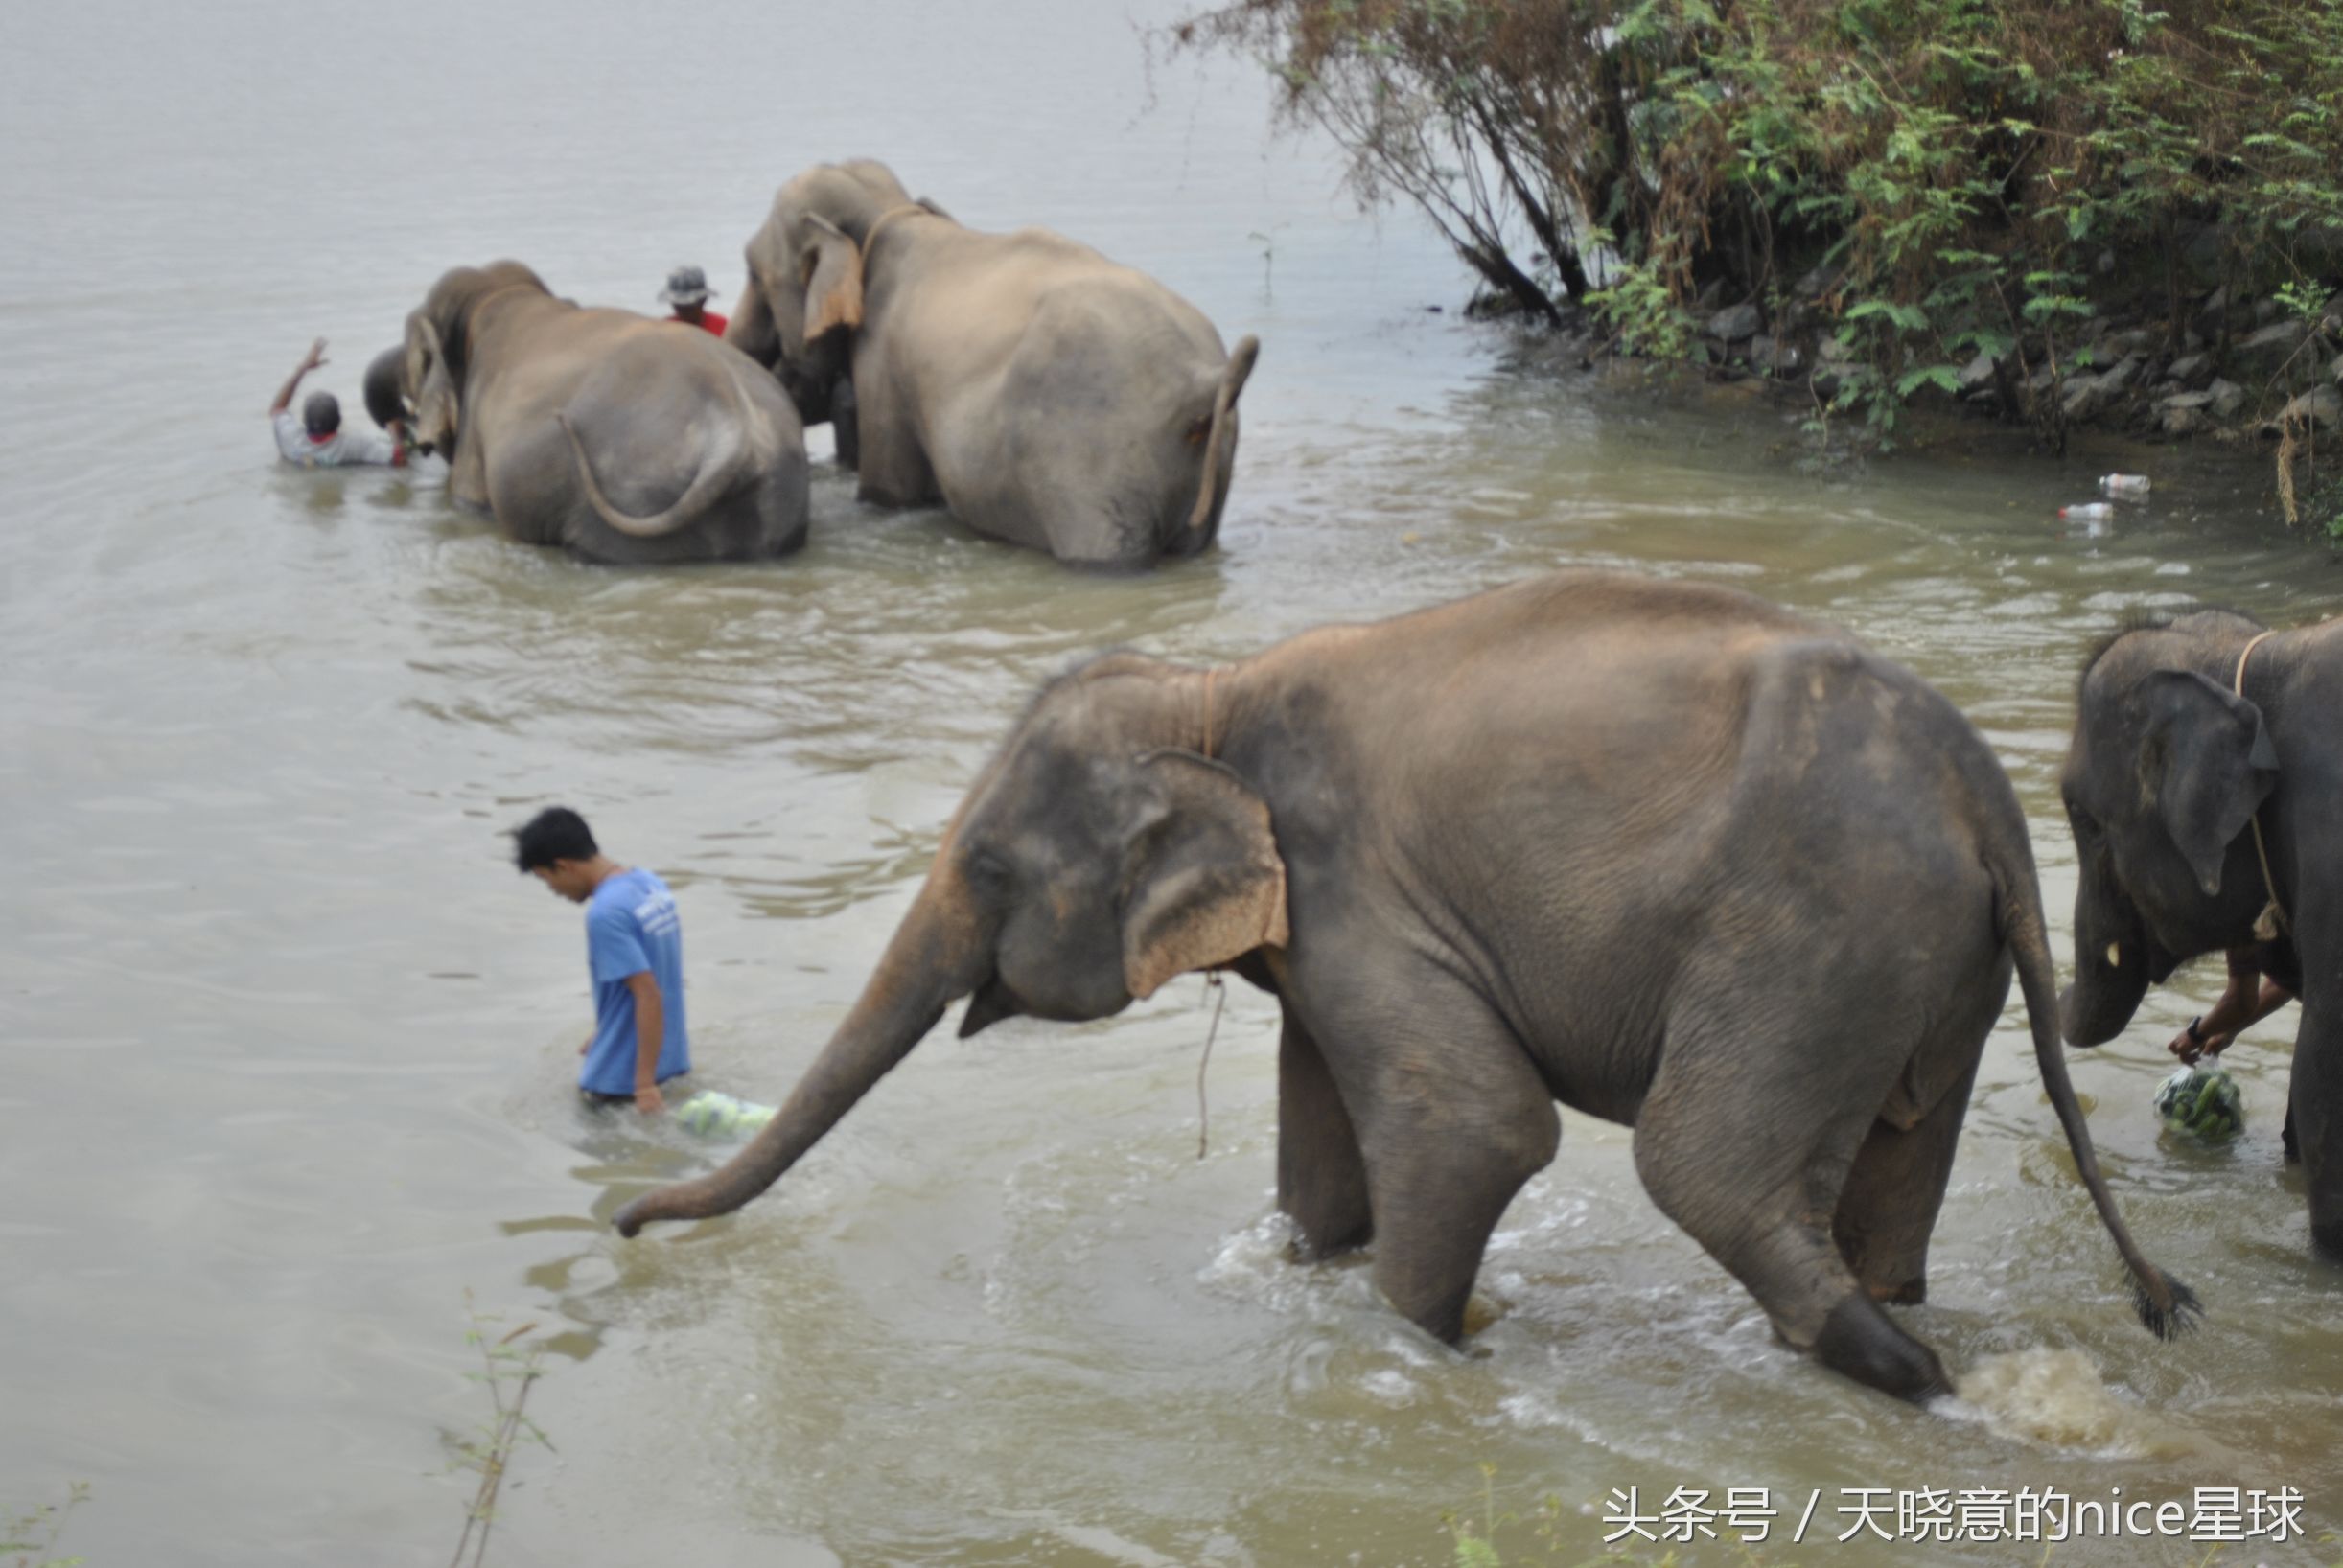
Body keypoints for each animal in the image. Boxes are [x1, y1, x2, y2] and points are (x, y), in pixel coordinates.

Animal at [373, 261, 809, 564]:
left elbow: (468, 498)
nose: (400, 426)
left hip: (633, 499)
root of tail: (730, 424)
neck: (501, 296)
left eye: (413, 358)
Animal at [615, 571, 2196, 1401]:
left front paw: (1432, 1351)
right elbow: (1323, 1173)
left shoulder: (1359, 896)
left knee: (1708, 1173)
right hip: (1928, 964)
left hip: (1811, 937)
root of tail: (1982, 790)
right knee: (1892, 1181)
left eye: (992, 868)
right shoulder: (1321, 937)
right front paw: (1312, 1271)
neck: (1213, 694)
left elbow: (1479, 1124)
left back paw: (1914, 1379)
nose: (621, 1220)